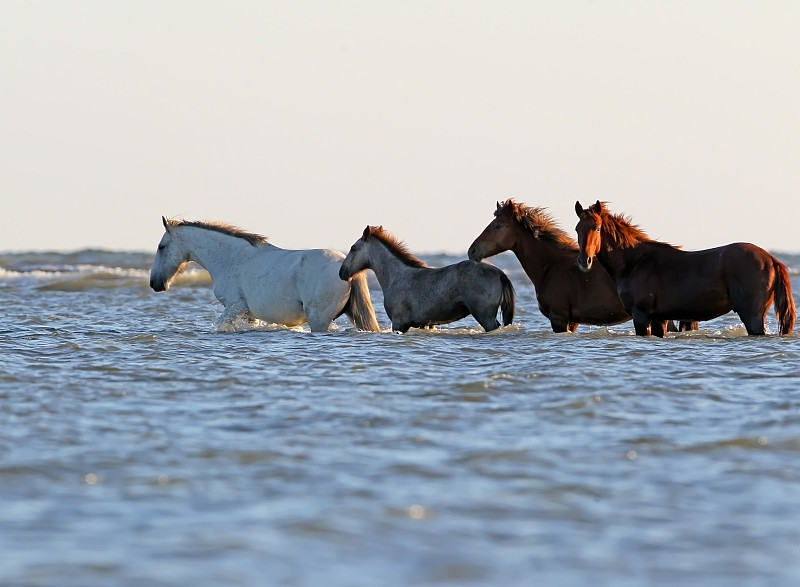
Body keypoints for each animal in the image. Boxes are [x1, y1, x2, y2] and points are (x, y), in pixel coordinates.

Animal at [149, 218, 382, 334]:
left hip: (318, 319)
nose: (155, 283)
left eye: (161, 247)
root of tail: (345, 267)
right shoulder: (247, 314)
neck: (231, 258)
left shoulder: (235, 306)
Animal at [576, 201, 792, 336]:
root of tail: (771, 259)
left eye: (597, 228)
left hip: (751, 316)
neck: (635, 262)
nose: (584, 260)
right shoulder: (660, 320)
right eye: (578, 229)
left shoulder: (641, 316)